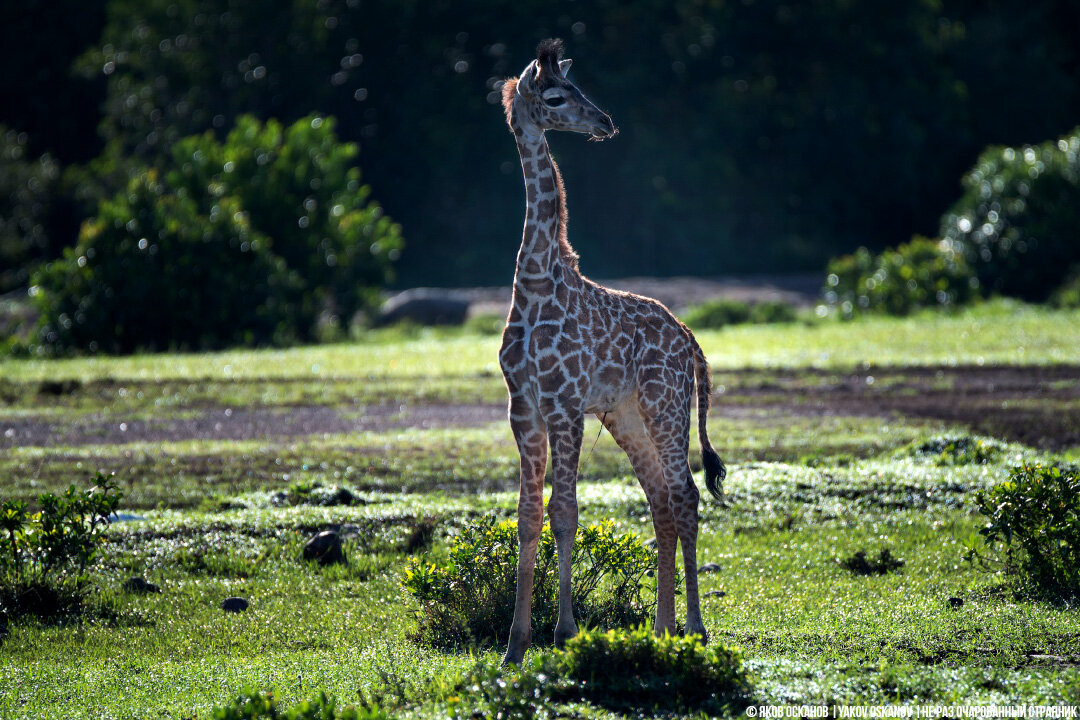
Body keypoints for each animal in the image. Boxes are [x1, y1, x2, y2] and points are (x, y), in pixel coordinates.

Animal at [498, 39, 725, 664]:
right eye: (556, 96)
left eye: (580, 88)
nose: (605, 122)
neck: (534, 283)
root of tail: (690, 340)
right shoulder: (523, 409)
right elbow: (528, 515)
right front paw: (515, 644)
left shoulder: (565, 405)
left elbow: (565, 512)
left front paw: (565, 633)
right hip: (627, 414)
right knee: (661, 502)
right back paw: (662, 629)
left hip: (666, 406)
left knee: (686, 496)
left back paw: (694, 629)